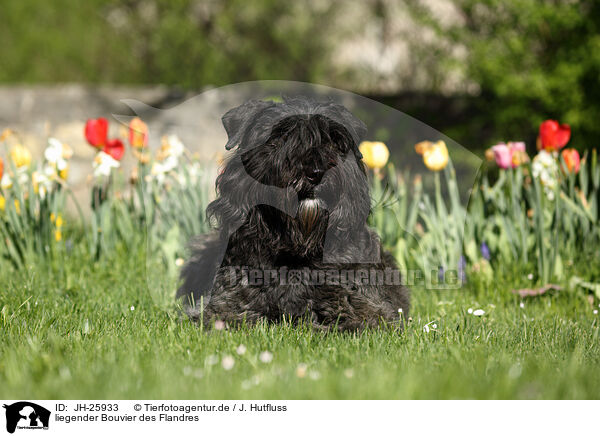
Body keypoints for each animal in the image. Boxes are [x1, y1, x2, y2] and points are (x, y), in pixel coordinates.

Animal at [178, 97, 410, 330]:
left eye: (333, 141)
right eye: (281, 137)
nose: (316, 173)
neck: (295, 249)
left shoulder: (365, 309)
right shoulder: (227, 303)